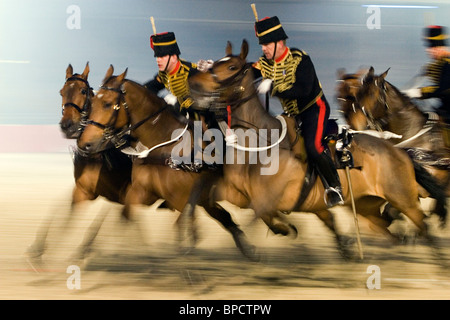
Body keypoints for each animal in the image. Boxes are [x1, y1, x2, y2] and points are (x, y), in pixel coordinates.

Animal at [26, 62, 133, 262]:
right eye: (61, 92)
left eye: (83, 91)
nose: (67, 125)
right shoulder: (84, 190)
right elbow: (60, 211)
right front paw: (39, 246)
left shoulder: (120, 192)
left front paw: (86, 248)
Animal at [74, 64, 256, 260]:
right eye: (92, 102)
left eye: (107, 103)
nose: (85, 144)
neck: (165, 146)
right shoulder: (141, 192)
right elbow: (124, 216)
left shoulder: (186, 196)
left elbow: (185, 222)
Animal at [185, 40, 440, 256]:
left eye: (232, 67)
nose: (194, 83)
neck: (261, 144)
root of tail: (399, 151)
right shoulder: (236, 194)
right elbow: (210, 200)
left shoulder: (268, 200)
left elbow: (262, 217)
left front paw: (280, 232)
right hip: (367, 206)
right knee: (390, 228)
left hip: (404, 199)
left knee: (424, 226)